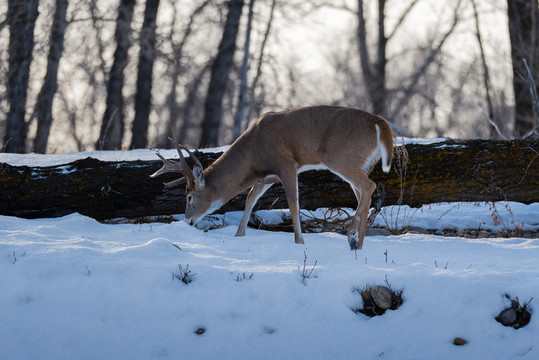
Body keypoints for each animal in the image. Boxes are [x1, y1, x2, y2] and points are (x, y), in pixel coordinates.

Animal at [150, 105, 394, 249]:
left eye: (189, 196)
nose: (187, 221)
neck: (252, 152)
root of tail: (380, 124)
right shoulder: (266, 176)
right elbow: (250, 198)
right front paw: (239, 235)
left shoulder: (286, 164)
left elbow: (293, 203)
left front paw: (299, 240)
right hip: (359, 162)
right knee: (363, 193)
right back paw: (358, 242)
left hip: (341, 157)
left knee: (370, 186)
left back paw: (352, 233)